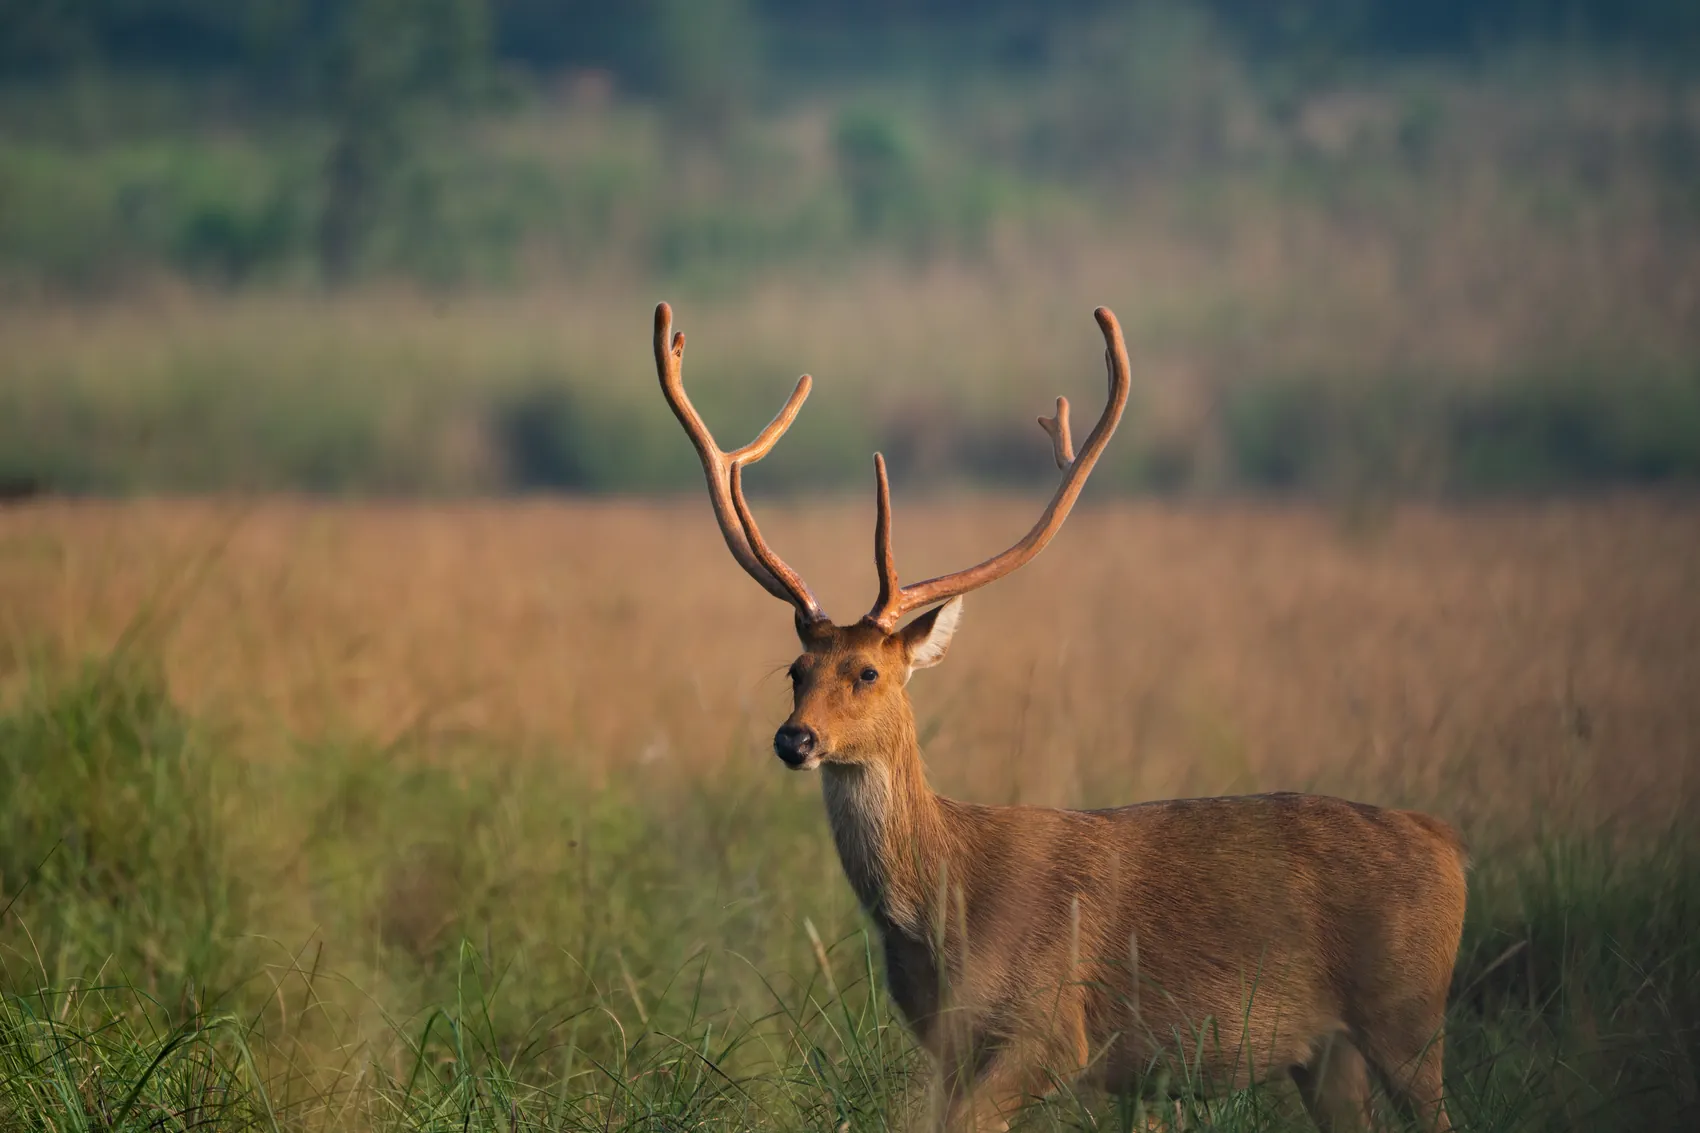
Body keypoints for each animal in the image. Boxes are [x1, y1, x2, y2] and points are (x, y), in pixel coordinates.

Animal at [653, 302, 1468, 1132]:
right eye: (796, 670)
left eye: (868, 671)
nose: (795, 737)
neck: (944, 904)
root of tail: (1445, 840)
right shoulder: (947, 1044)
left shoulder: (1050, 1024)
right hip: (1328, 1048)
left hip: (1406, 1012)